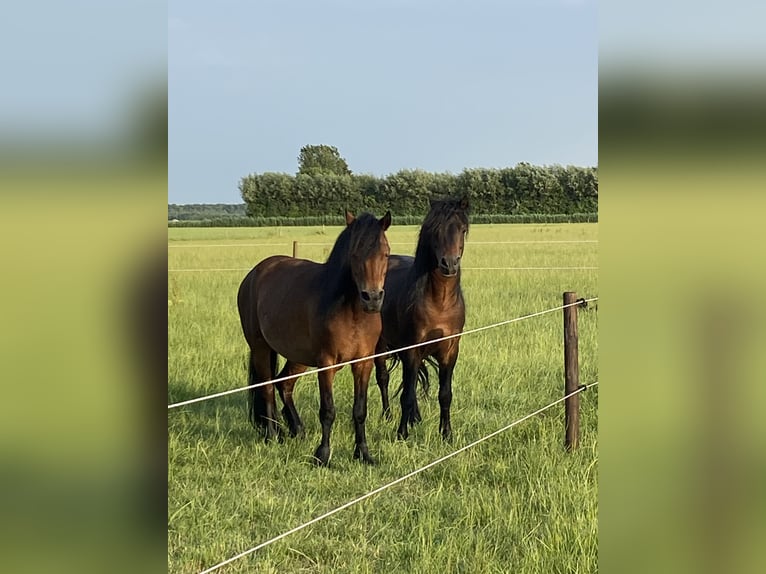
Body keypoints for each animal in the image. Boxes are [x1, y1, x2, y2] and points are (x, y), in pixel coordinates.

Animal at [237, 212, 392, 468]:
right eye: (354, 254)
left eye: (386, 253)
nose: (372, 298)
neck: (351, 312)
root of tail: (255, 273)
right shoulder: (326, 364)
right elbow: (327, 410)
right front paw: (322, 455)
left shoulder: (363, 362)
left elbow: (360, 410)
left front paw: (363, 453)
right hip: (260, 348)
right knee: (267, 387)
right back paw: (272, 435)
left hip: (297, 355)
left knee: (284, 384)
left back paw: (297, 430)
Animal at [376, 197, 472, 440]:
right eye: (435, 231)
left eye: (462, 229)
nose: (449, 264)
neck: (441, 302)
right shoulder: (412, 349)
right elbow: (407, 395)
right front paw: (401, 434)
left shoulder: (450, 350)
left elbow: (445, 394)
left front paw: (446, 434)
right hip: (380, 346)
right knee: (384, 378)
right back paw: (388, 416)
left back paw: (415, 418)